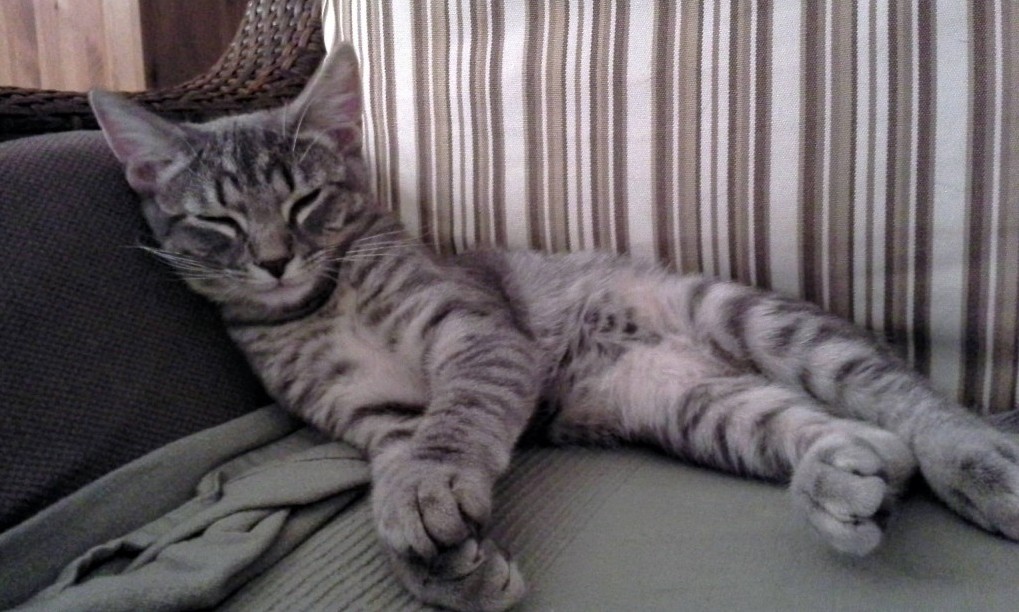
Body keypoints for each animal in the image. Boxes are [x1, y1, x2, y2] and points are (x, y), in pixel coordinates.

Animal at [87, 44, 1019, 610]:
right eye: (217, 223)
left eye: (306, 201)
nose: (277, 261)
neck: (323, 306)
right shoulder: (372, 418)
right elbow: (394, 463)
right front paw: (435, 565)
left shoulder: (475, 333)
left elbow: (454, 420)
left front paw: (431, 489)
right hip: (696, 406)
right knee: (855, 440)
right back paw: (836, 478)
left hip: (752, 317)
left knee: (899, 397)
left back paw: (974, 460)